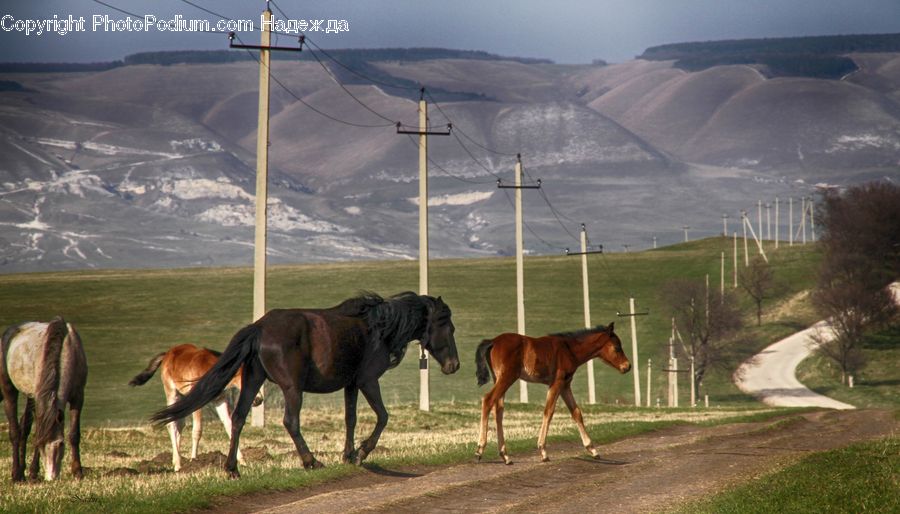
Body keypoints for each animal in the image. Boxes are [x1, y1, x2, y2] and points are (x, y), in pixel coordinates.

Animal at [0, 316, 87, 480]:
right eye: (42, 447)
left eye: (61, 444)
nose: (51, 477)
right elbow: (38, 434)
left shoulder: (78, 396)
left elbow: (74, 434)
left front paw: (77, 471)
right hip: (9, 389)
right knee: (15, 431)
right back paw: (16, 474)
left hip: (30, 396)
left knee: (24, 427)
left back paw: (24, 471)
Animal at [153, 292, 458, 476]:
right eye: (448, 326)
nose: (453, 365)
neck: (378, 328)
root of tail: (259, 327)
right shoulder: (368, 381)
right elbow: (383, 416)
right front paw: (361, 453)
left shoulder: (351, 384)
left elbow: (350, 418)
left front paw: (348, 455)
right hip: (292, 389)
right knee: (290, 421)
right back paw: (311, 461)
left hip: (253, 380)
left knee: (238, 419)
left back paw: (232, 469)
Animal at [474, 324, 628, 464]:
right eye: (617, 347)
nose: (628, 366)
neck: (569, 349)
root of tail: (493, 341)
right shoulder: (556, 383)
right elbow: (549, 411)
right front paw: (543, 451)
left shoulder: (565, 385)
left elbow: (576, 412)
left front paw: (593, 450)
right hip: (507, 377)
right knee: (488, 400)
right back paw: (479, 450)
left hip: (499, 378)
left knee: (498, 410)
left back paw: (505, 455)